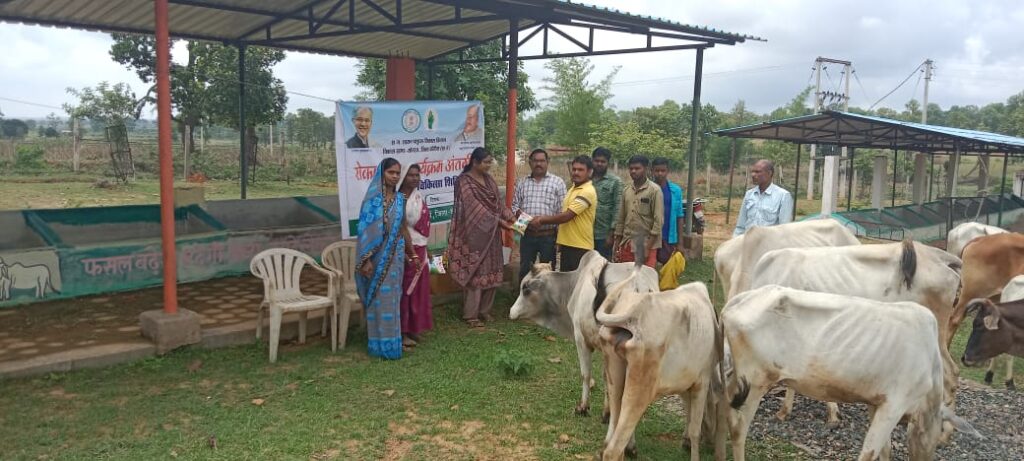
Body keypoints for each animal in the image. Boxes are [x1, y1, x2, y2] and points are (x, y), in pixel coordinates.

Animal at [509, 249, 659, 420]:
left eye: (525, 287)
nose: (511, 312)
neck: (574, 284)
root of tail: (640, 286)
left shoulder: (582, 340)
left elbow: (586, 375)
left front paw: (583, 407)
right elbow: (606, 377)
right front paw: (606, 412)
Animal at [593, 276, 720, 461]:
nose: (711, 442)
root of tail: (634, 315)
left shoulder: (685, 383)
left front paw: (686, 441)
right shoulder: (701, 381)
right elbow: (695, 429)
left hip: (613, 374)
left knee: (608, 440)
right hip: (642, 387)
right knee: (613, 450)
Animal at [724, 284, 978, 461]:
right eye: (935, 439)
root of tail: (739, 300)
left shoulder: (876, 403)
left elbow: (884, 450)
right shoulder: (894, 405)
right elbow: (870, 452)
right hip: (754, 383)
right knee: (737, 430)